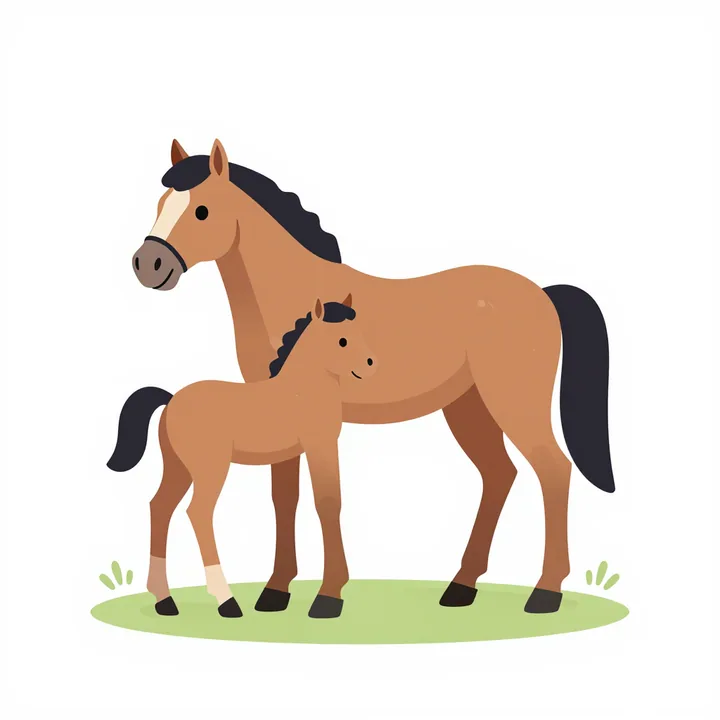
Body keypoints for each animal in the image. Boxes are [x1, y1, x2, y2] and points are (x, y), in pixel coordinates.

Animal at [107, 296, 372, 619]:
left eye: (360, 331)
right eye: (342, 340)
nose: (370, 364)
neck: (300, 390)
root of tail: (170, 401)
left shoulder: (288, 456)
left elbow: (287, 501)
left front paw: (280, 593)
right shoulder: (319, 445)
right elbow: (327, 502)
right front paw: (329, 597)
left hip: (178, 467)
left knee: (159, 507)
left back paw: (165, 601)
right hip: (210, 468)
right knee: (198, 512)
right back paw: (226, 600)